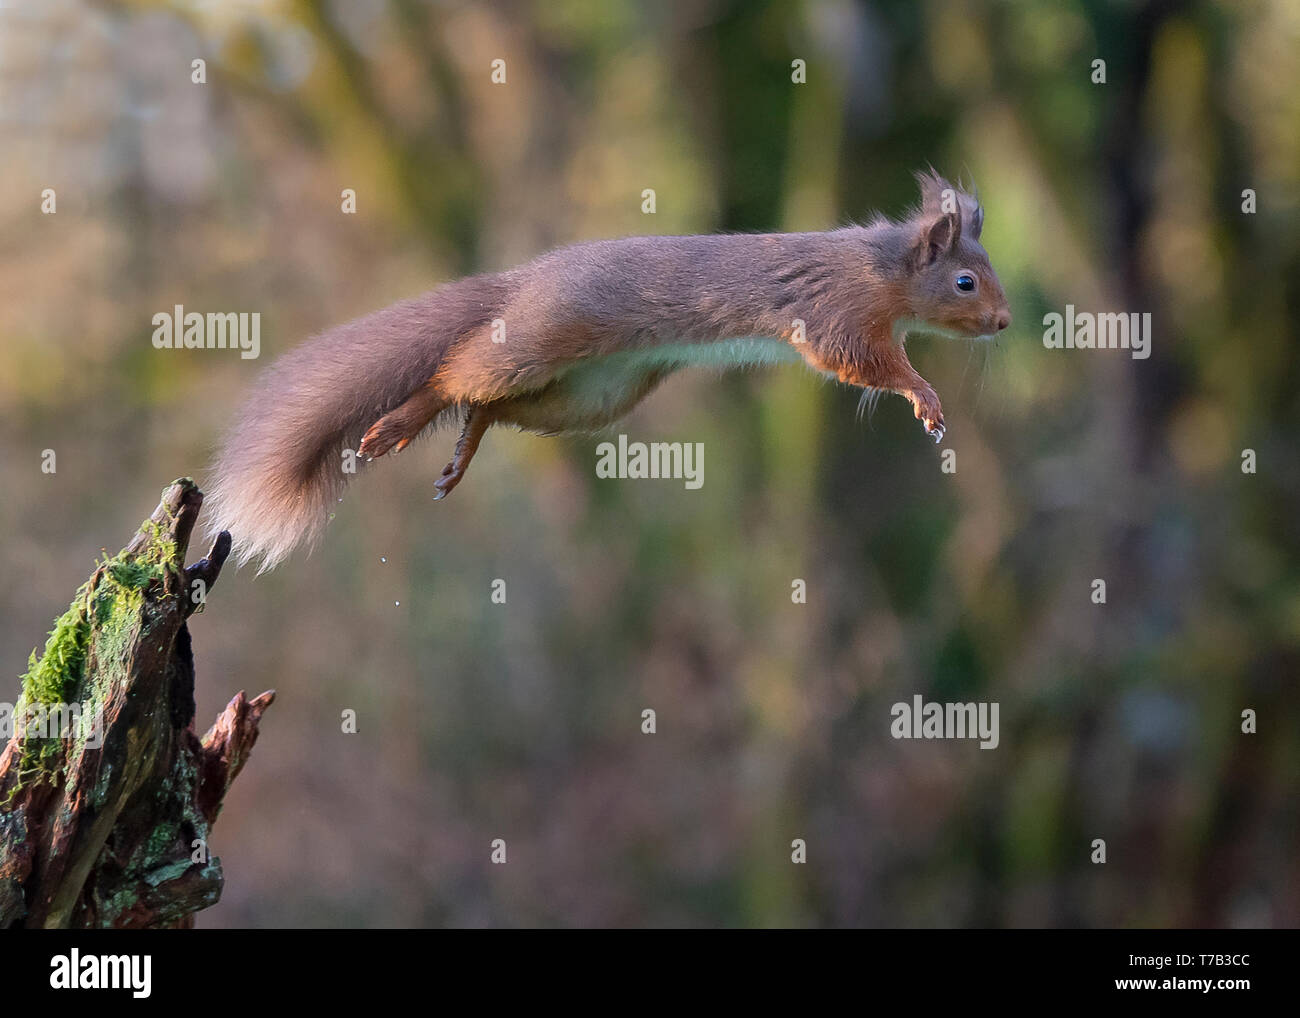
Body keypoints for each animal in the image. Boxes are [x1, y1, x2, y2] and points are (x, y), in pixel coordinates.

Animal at [208, 170, 1008, 569]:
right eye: (966, 282)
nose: (1004, 322)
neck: (887, 270)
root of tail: (522, 283)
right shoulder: (840, 312)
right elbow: (866, 361)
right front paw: (925, 396)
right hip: (540, 342)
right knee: (454, 377)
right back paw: (397, 427)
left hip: (594, 393)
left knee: (492, 408)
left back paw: (462, 452)